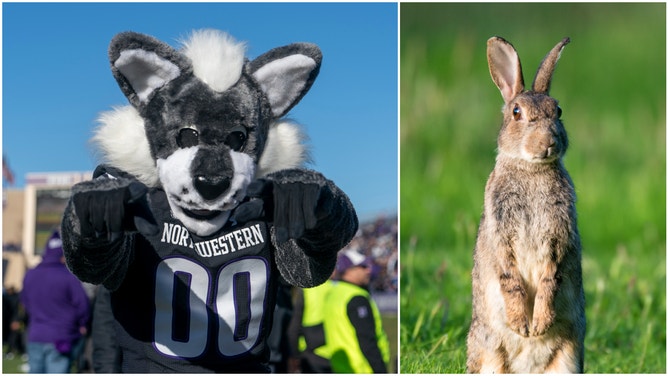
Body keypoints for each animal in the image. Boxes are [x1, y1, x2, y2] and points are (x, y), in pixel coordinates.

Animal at [464, 36, 584, 374]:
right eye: (517, 112)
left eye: (558, 110)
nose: (549, 142)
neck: (531, 169)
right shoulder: (502, 233)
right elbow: (510, 278)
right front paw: (522, 325)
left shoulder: (558, 236)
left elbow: (550, 278)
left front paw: (539, 324)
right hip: (489, 353)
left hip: (569, 356)